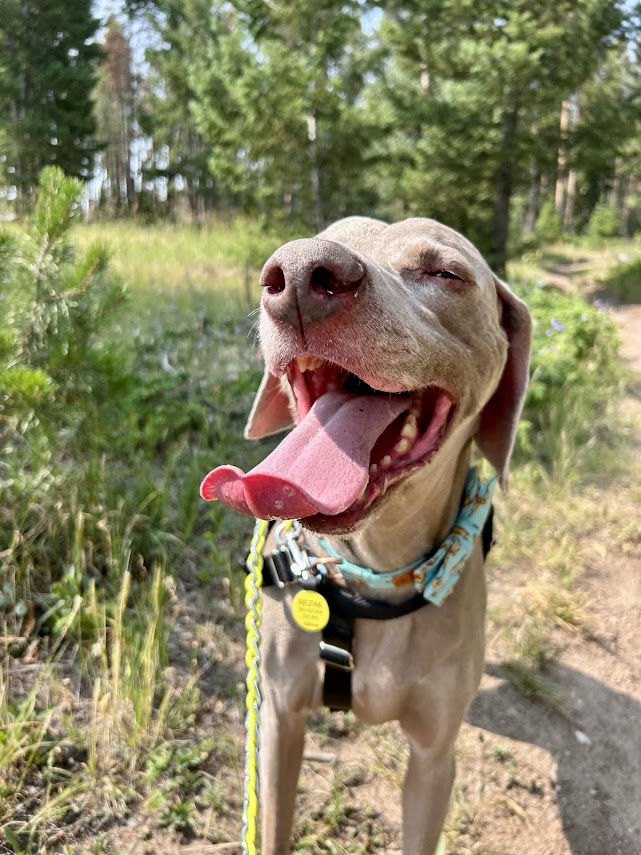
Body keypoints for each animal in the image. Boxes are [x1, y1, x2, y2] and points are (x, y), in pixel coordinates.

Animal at [201, 217, 528, 852]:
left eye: (445, 272)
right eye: (330, 234)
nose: (298, 275)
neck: (374, 571)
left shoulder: (434, 759)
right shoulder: (278, 718)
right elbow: (273, 826)